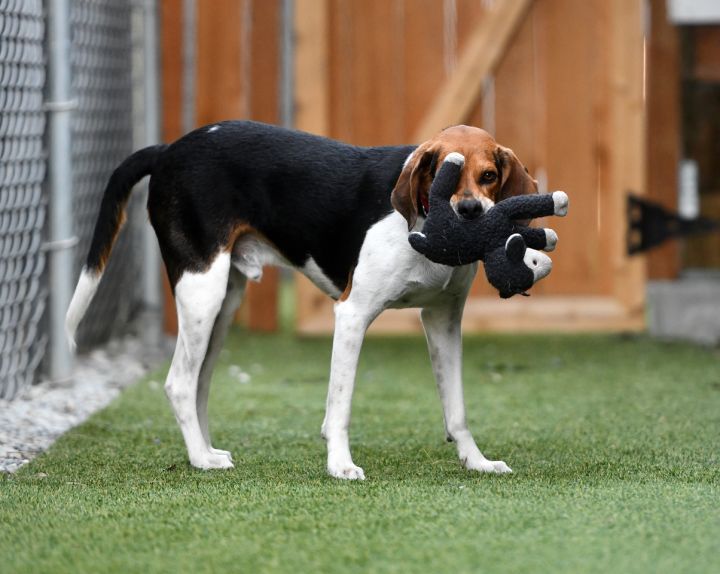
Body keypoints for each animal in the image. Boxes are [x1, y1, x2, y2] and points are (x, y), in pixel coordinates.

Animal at [66, 121, 564, 482]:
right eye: (445, 172)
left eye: (488, 176)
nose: (469, 212)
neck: (422, 226)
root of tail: (169, 148)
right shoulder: (352, 315)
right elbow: (339, 407)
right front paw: (340, 466)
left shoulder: (443, 319)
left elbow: (456, 410)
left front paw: (477, 461)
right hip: (201, 291)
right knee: (178, 383)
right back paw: (200, 461)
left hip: (223, 304)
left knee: (200, 383)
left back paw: (205, 450)